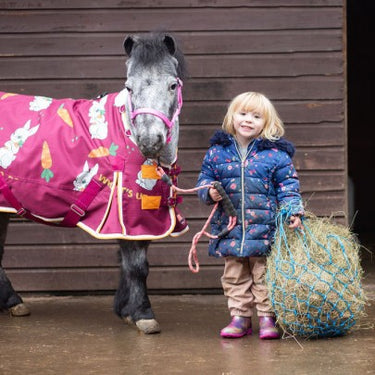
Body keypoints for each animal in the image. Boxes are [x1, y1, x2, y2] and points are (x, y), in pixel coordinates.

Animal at [0, 31, 188, 334]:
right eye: (129, 87)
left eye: (172, 85)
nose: (150, 141)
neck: (126, 134)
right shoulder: (128, 209)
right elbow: (137, 264)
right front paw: (142, 314)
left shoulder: (143, 210)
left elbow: (127, 261)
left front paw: (125, 310)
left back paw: (12, 302)